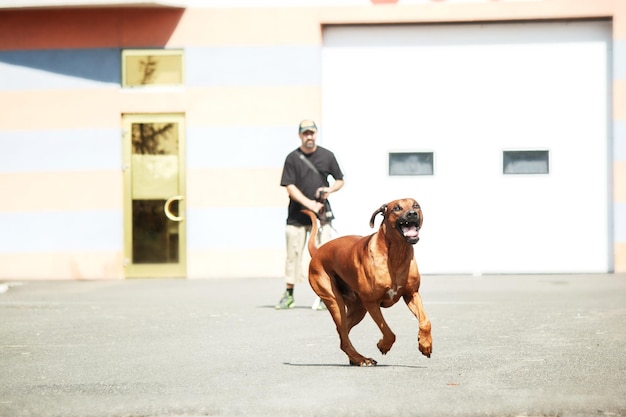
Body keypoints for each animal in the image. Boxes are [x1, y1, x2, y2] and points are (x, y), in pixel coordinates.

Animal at [304, 198, 432, 364]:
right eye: (396, 208)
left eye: (416, 205)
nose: (412, 214)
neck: (396, 254)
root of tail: (318, 251)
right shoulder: (371, 302)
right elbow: (388, 332)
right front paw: (383, 345)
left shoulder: (412, 294)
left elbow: (425, 321)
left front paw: (425, 344)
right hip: (334, 300)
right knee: (343, 334)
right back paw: (361, 359)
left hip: (358, 308)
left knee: (343, 333)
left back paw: (356, 358)